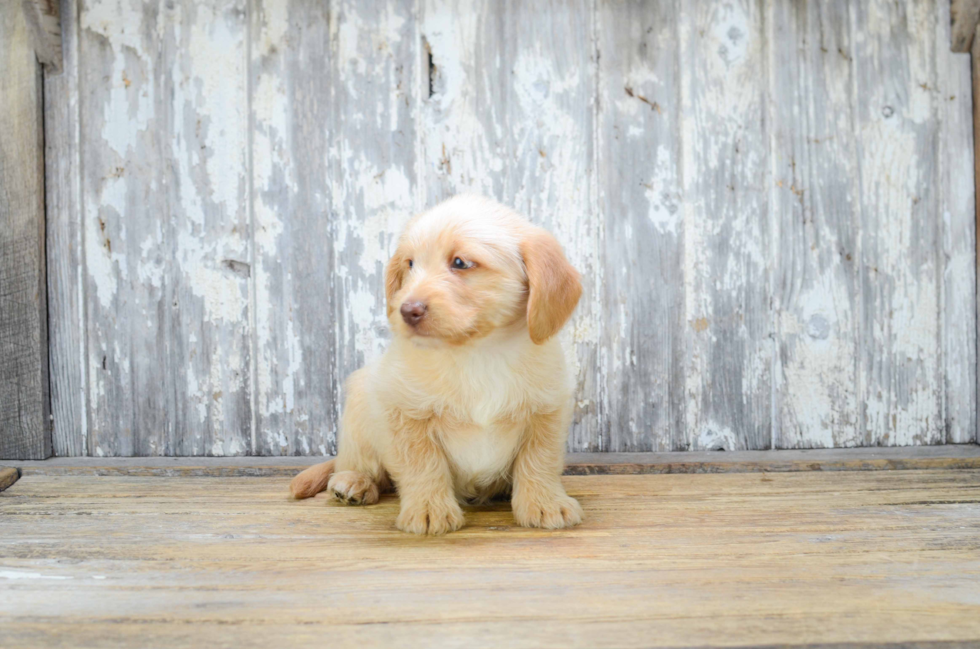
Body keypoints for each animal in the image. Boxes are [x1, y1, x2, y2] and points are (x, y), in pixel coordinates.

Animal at [290, 195, 580, 536]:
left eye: (460, 263)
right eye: (410, 264)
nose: (406, 310)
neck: (476, 354)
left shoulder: (547, 409)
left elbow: (539, 459)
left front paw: (545, 503)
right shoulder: (405, 411)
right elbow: (423, 463)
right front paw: (429, 509)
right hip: (360, 408)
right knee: (360, 465)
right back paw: (353, 482)